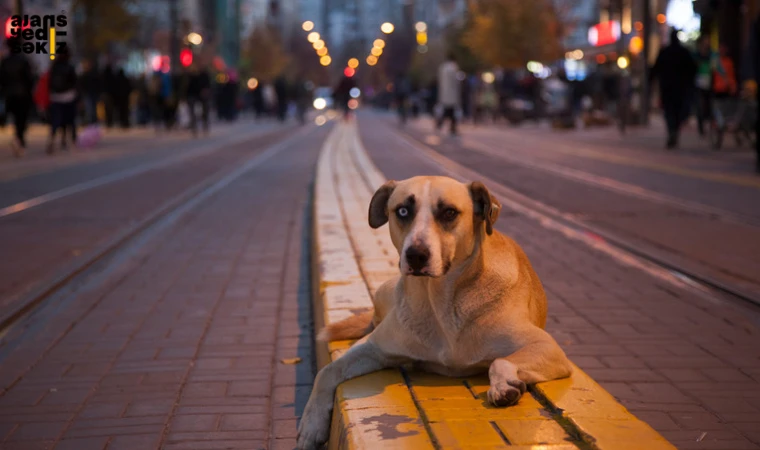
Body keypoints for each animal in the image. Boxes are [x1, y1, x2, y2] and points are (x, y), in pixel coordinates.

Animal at [296, 177, 568, 450]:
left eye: (449, 212)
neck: (441, 303)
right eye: (402, 211)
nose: (416, 255)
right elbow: (326, 371)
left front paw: (502, 386)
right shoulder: (373, 347)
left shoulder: (547, 347)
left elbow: (500, 361)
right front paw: (311, 426)